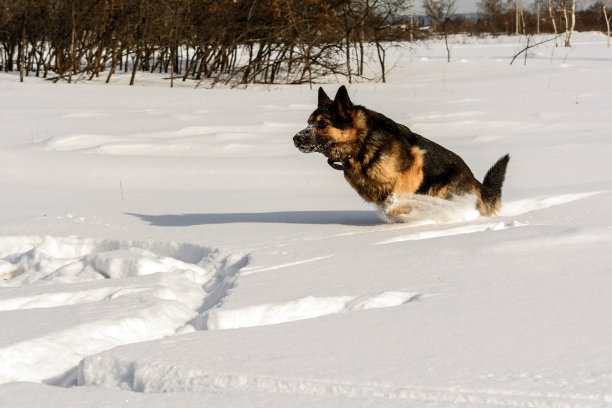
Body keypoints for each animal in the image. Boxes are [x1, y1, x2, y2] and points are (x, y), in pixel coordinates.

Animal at [294, 86, 510, 218]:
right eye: (308, 122)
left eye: (322, 124)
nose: (295, 139)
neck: (363, 142)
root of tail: (477, 183)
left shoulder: (412, 172)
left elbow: (393, 203)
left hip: (442, 190)